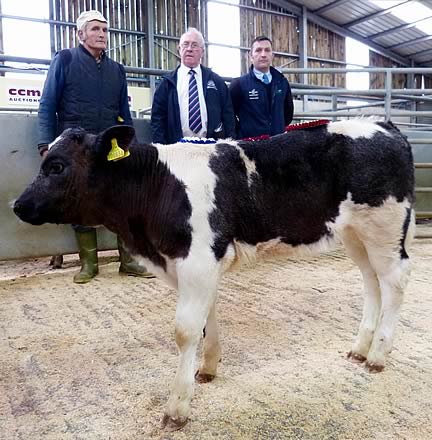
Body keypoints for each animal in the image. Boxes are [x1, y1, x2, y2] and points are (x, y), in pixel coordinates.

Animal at [14, 119, 416, 430]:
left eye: (57, 166)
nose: (18, 205)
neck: (159, 185)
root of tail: (385, 126)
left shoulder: (196, 260)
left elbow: (185, 330)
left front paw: (177, 407)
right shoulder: (195, 264)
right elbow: (208, 316)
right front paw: (207, 367)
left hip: (384, 229)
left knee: (394, 282)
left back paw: (378, 355)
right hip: (355, 234)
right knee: (371, 282)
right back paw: (360, 349)